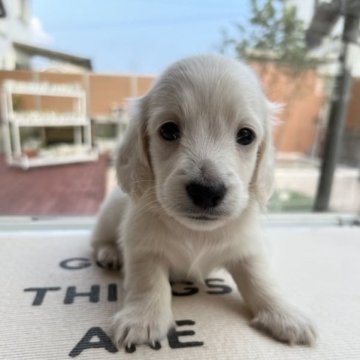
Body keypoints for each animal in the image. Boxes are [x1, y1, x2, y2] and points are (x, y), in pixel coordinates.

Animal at [91, 54, 316, 348]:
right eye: (169, 130)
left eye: (246, 135)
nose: (207, 191)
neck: (196, 232)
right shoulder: (142, 246)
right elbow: (148, 280)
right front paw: (143, 318)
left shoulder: (248, 247)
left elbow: (261, 277)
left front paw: (285, 314)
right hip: (109, 215)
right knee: (97, 241)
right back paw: (109, 253)